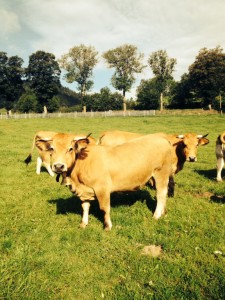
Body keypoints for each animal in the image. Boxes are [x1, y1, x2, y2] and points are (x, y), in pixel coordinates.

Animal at [36, 133, 174, 230]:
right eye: (52, 149)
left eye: (70, 149)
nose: (58, 166)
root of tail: (161, 137)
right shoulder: (84, 190)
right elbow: (85, 207)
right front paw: (84, 223)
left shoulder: (102, 188)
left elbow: (104, 208)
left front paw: (108, 226)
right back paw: (163, 212)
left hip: (161, 174)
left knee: (161, 195)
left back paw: (156, 215)